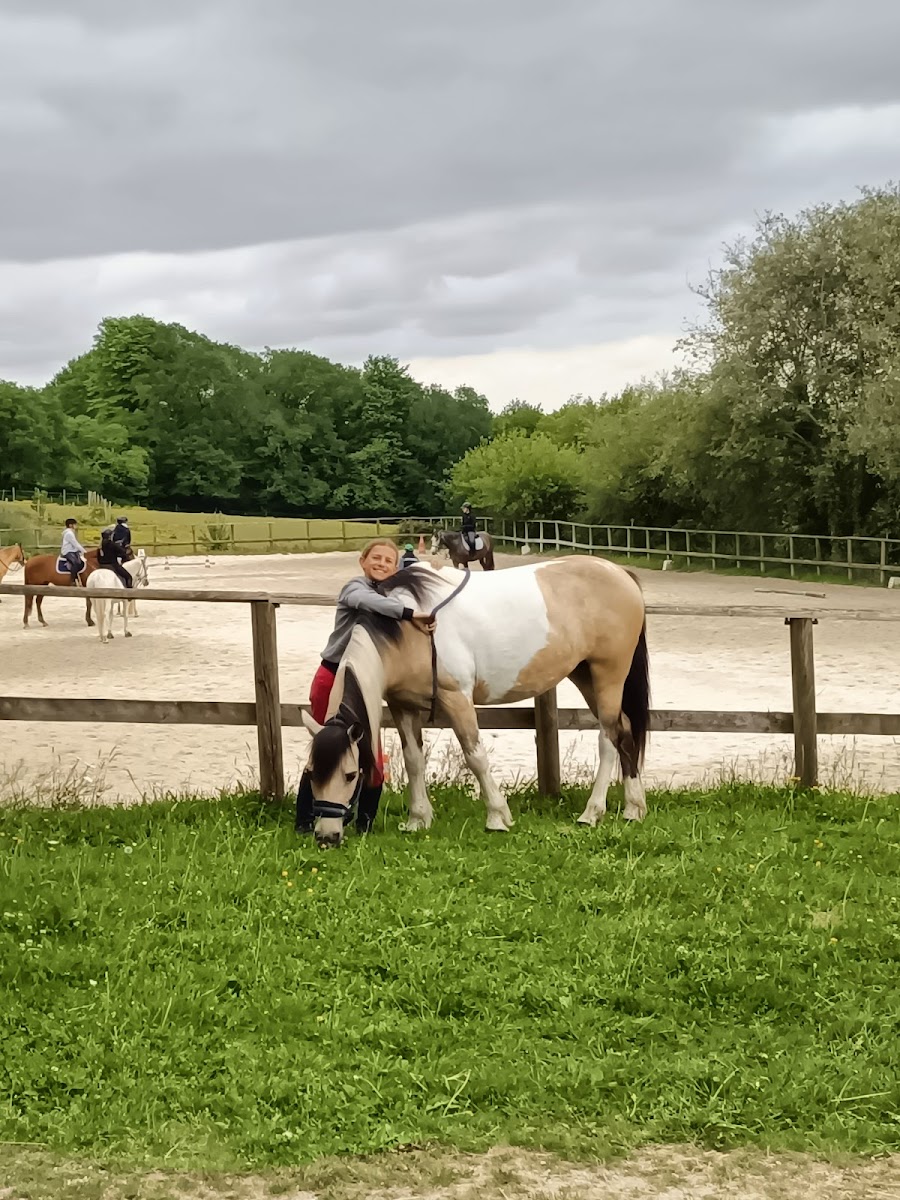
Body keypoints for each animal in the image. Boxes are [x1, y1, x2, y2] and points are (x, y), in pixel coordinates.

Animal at [301, 557, 650, 848]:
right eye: (312, 772)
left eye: (350, 775)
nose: (326, 836)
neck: (409, 629)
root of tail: (620, 573)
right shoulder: (403, 707)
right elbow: (414, 761)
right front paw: (418, 819)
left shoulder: (457, 699)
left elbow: (475, 756)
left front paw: (498, 816)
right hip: (585, 675)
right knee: (625, 731)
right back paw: (634, 808)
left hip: (608, 674)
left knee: (609, 738)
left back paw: (593, 812)